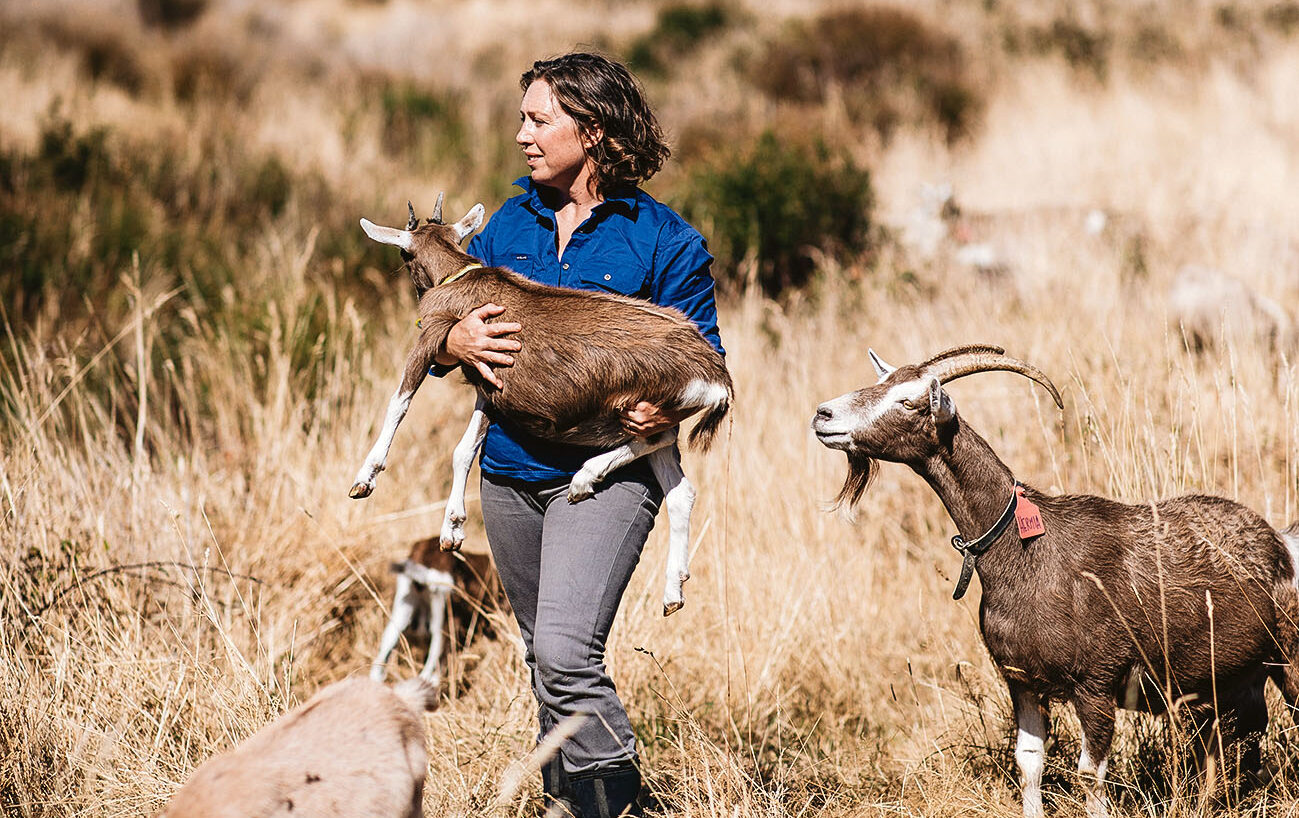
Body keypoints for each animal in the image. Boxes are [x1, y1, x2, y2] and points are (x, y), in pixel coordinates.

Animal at [350, 198, 732, 618]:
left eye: (404, 254)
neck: (458, 275)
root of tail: (715, 376)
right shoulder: (490, 381)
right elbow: (464, 449)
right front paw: (452, 528)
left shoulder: (432, 336)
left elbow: (398, 404)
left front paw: (365, 478)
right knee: (681, 490)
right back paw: (673, 592)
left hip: (639, 405)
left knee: (656, 436)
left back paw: (584, 479)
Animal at [810, 345, 1299, 818]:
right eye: (882, 383)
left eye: (908, 400)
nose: (823, 414)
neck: (1026, 551)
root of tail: (1281, 540)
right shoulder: (1021, 681)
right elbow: (1028, 761)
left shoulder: (1097, 684)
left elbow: (1089, 775)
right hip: (1233, 682)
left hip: (1287, 660)